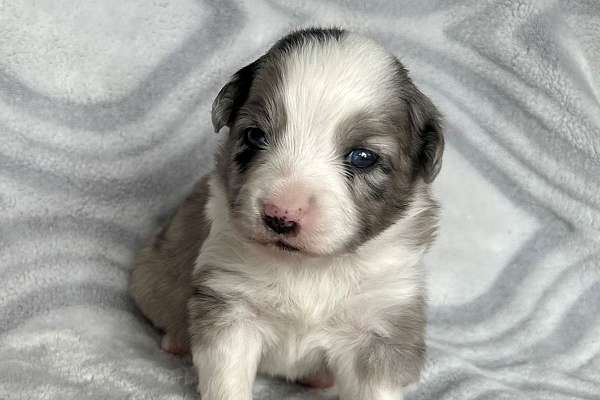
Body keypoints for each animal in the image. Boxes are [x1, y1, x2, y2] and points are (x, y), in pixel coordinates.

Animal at [129, 28, 442, 400]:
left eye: (362, 157)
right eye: (255, 135)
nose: (280, 216)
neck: (308, 268)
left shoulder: (381, 324)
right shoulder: (230, 306)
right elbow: (225, 379)